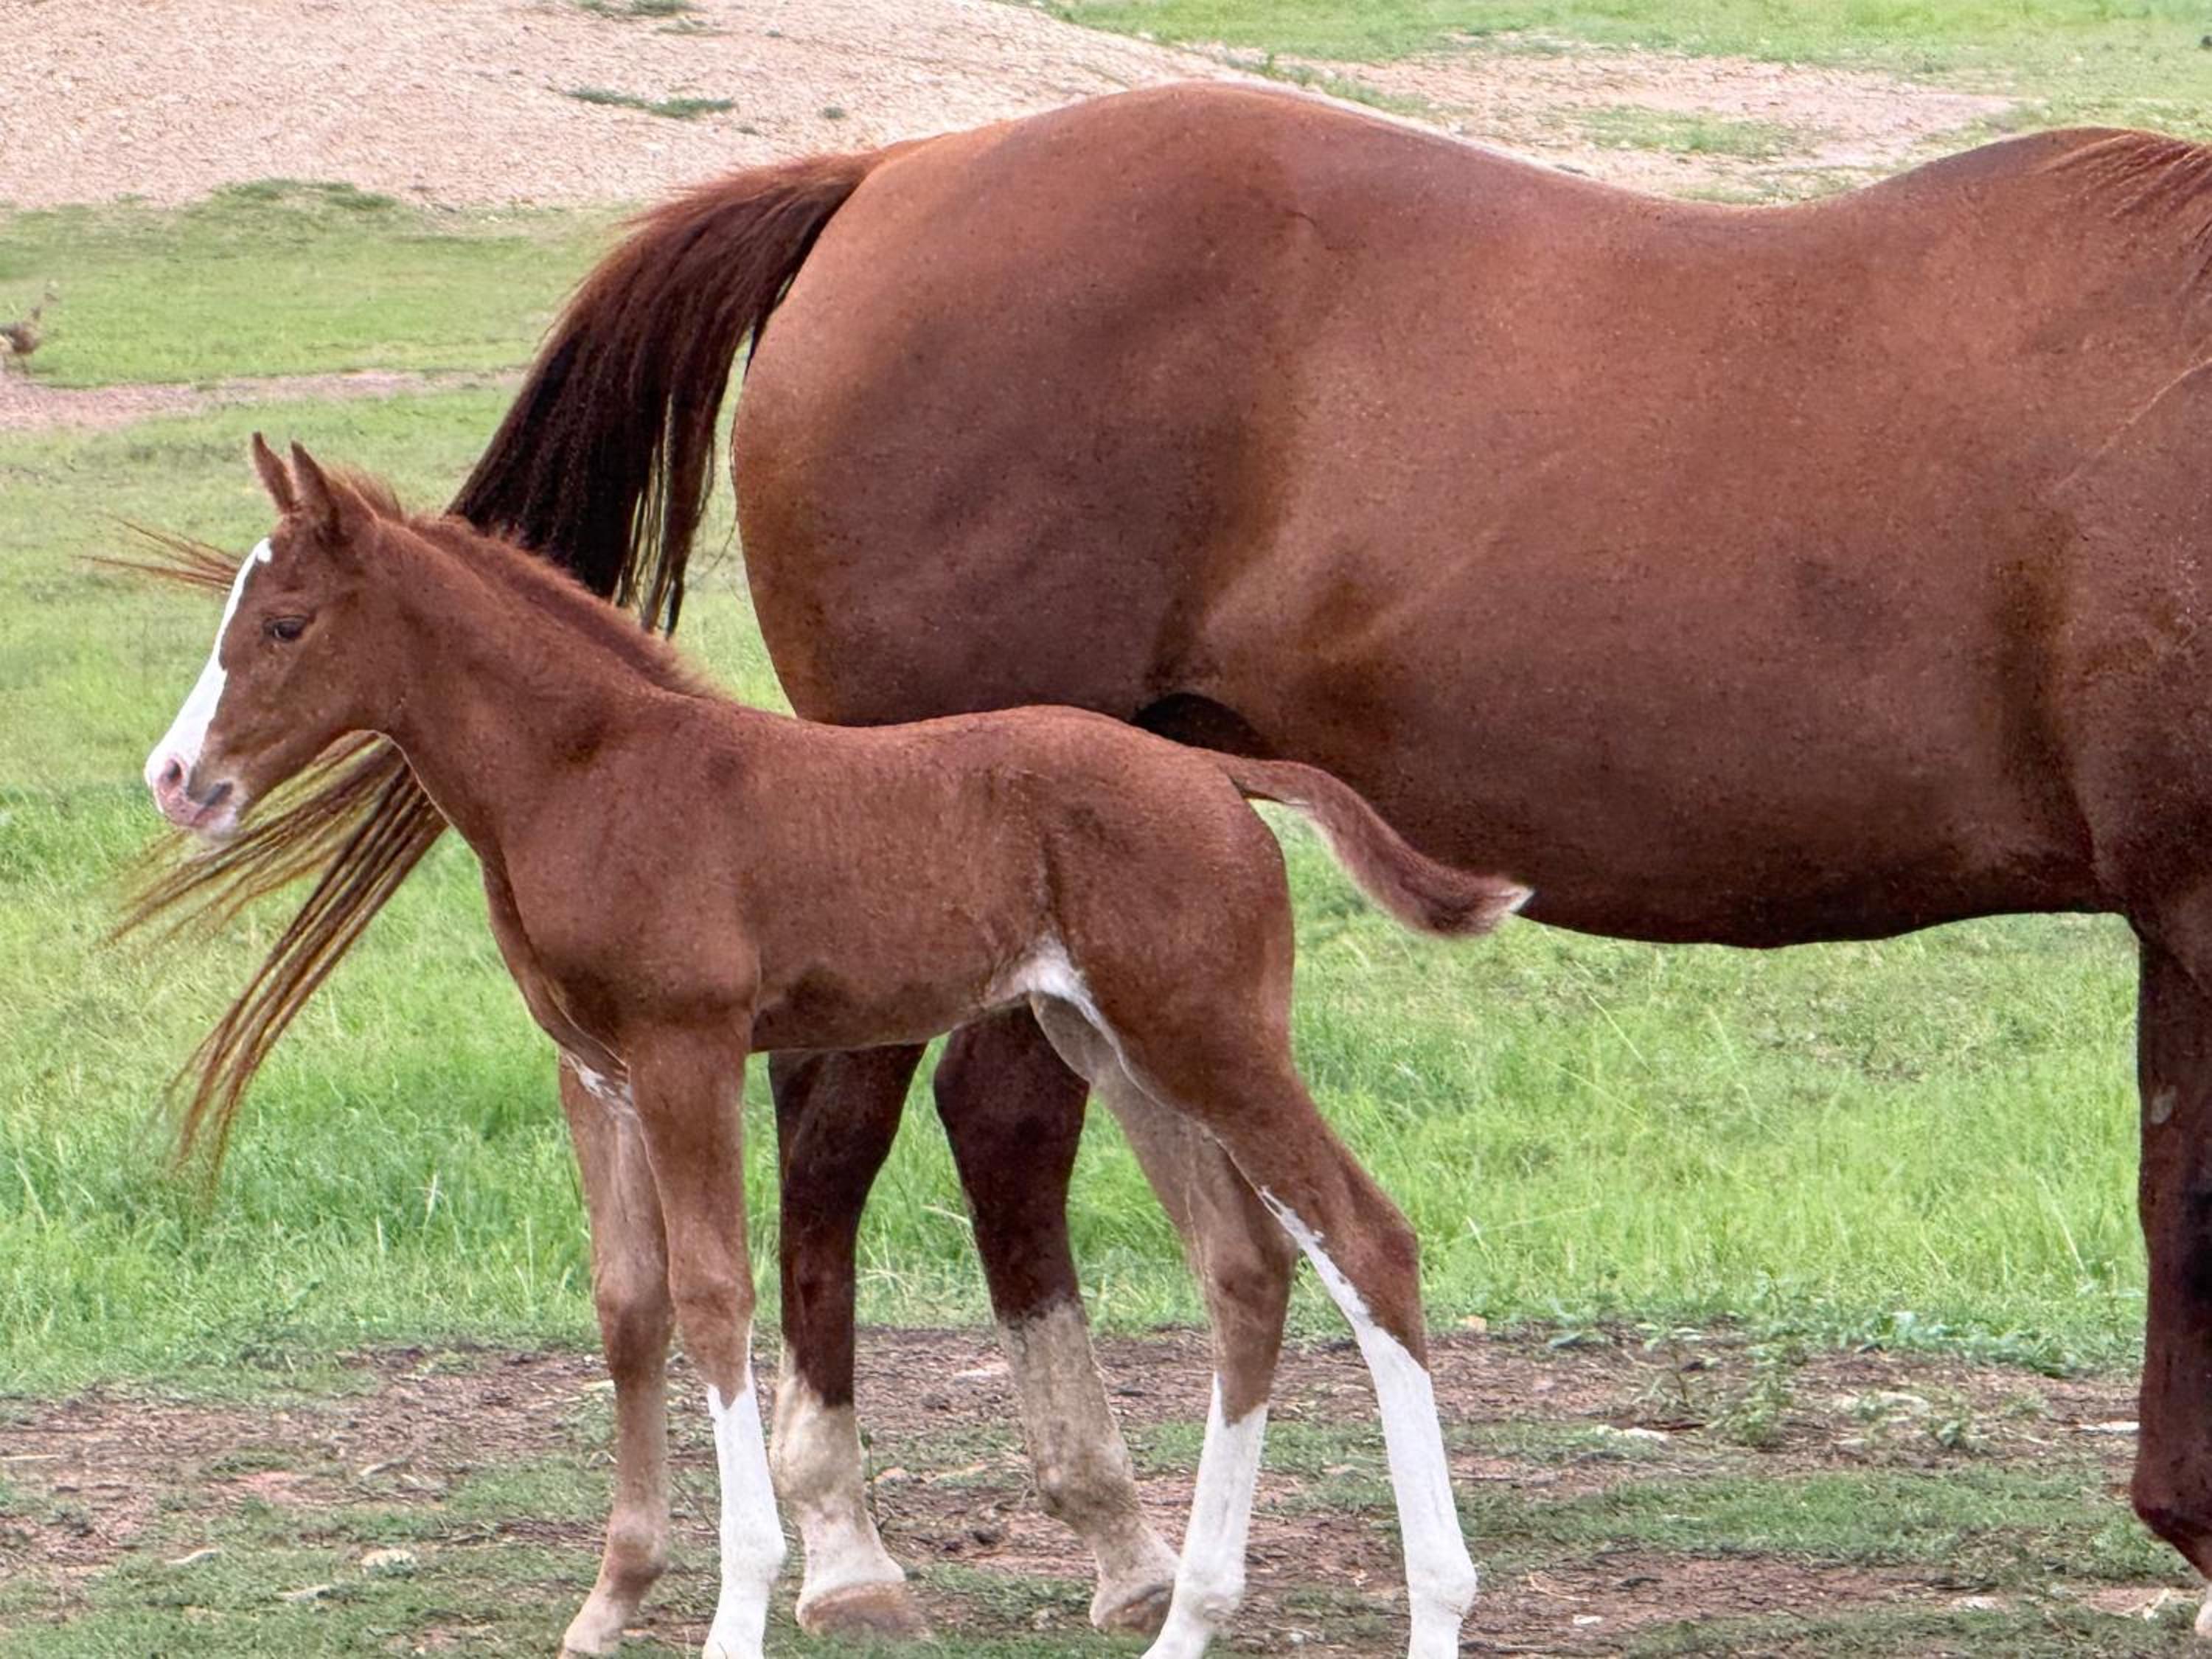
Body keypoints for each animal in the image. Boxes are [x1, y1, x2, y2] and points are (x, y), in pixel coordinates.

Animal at [141, 436, 1530, 1658]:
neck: (589, 774)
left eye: (284, 625)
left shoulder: (689, 1050)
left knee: (1367, 1241)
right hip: (1115, 1043)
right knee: (1247, 1271)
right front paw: (608, 1602)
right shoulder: (594, 1072)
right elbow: (629, 1304)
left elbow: (716, 1296)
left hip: (1211, 1040)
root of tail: (1221, 780)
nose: (174, 777)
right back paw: (1186, 1619)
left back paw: (1434, 1610)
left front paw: (742, 1605)